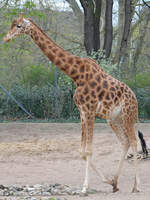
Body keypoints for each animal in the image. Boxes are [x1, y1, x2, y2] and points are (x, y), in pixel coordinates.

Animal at [3, 13, 139, 194]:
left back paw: (136, 186)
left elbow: (88, 150)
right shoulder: (82, 112)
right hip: (113, 119)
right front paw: (107, 181)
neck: (76, 74)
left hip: (128, 116)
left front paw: (85, 187)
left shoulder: (89, 111)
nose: (6, 37)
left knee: (134, 141)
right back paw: (115, 182)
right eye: (12, 24)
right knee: (125, 142)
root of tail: (135, 99)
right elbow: (82, 151)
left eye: (18, 26)